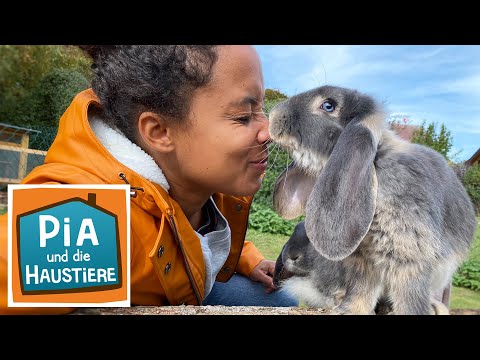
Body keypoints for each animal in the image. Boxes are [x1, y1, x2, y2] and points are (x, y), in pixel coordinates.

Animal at [270, 85, 476, 316]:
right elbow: (361, 290)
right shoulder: (363, 261)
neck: (376, 166)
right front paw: (347, 310)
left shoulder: (410, 258)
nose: (272, 116)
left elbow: (410, 296)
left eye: (328, 105)